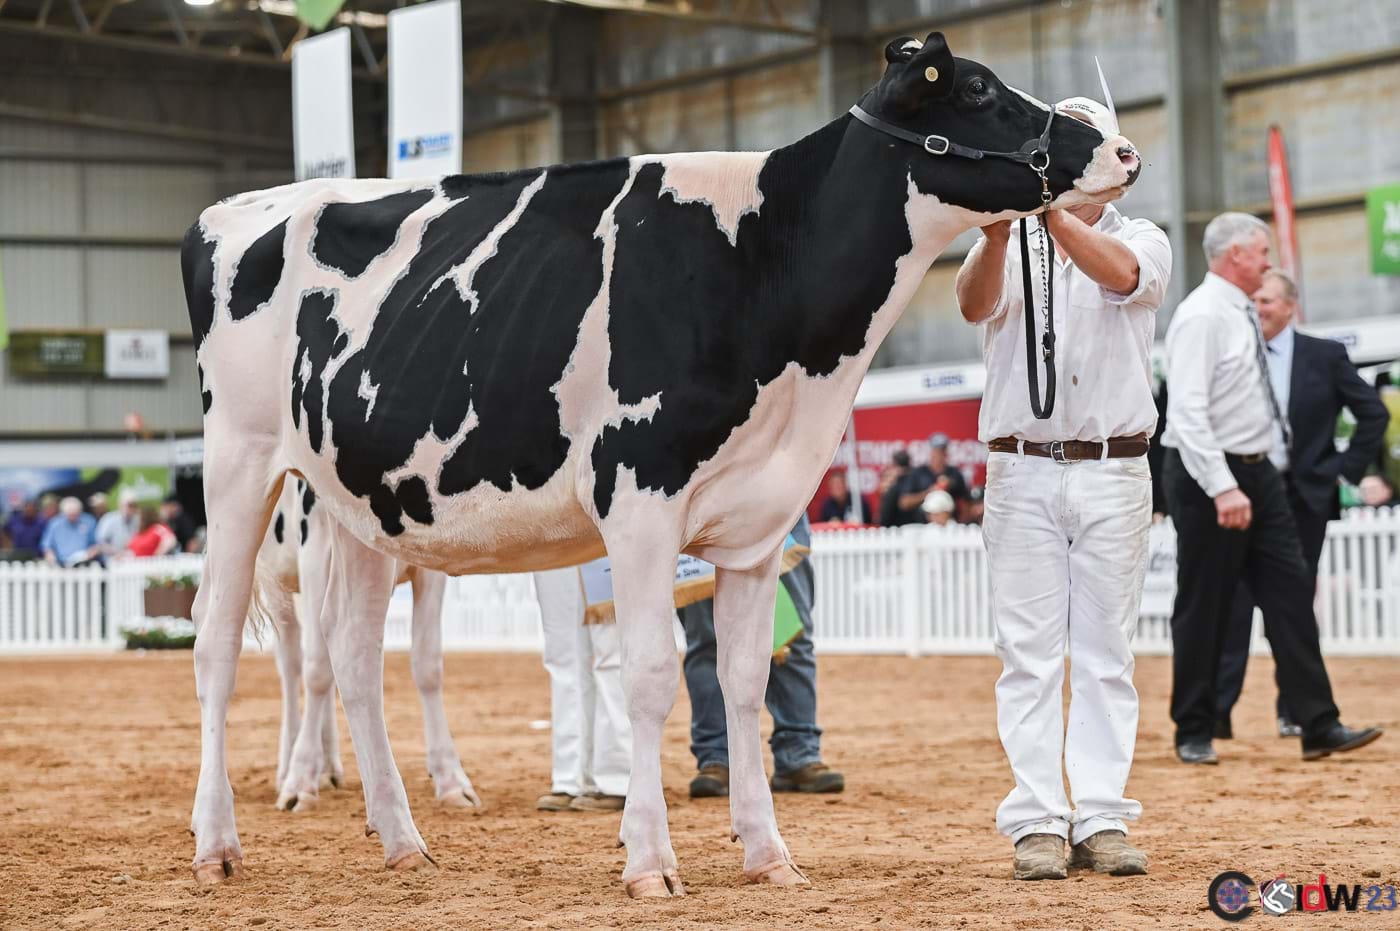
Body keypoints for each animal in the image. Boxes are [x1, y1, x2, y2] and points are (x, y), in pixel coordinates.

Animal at [254, 477, 481, 812]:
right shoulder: (315, 550)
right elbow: (317, 671)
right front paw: (300, 780)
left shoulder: (429, 566)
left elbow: (427, 666)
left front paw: (450, 778)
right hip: (277, 582)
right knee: (293, 667)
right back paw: (288, 767)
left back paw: (327, 767)